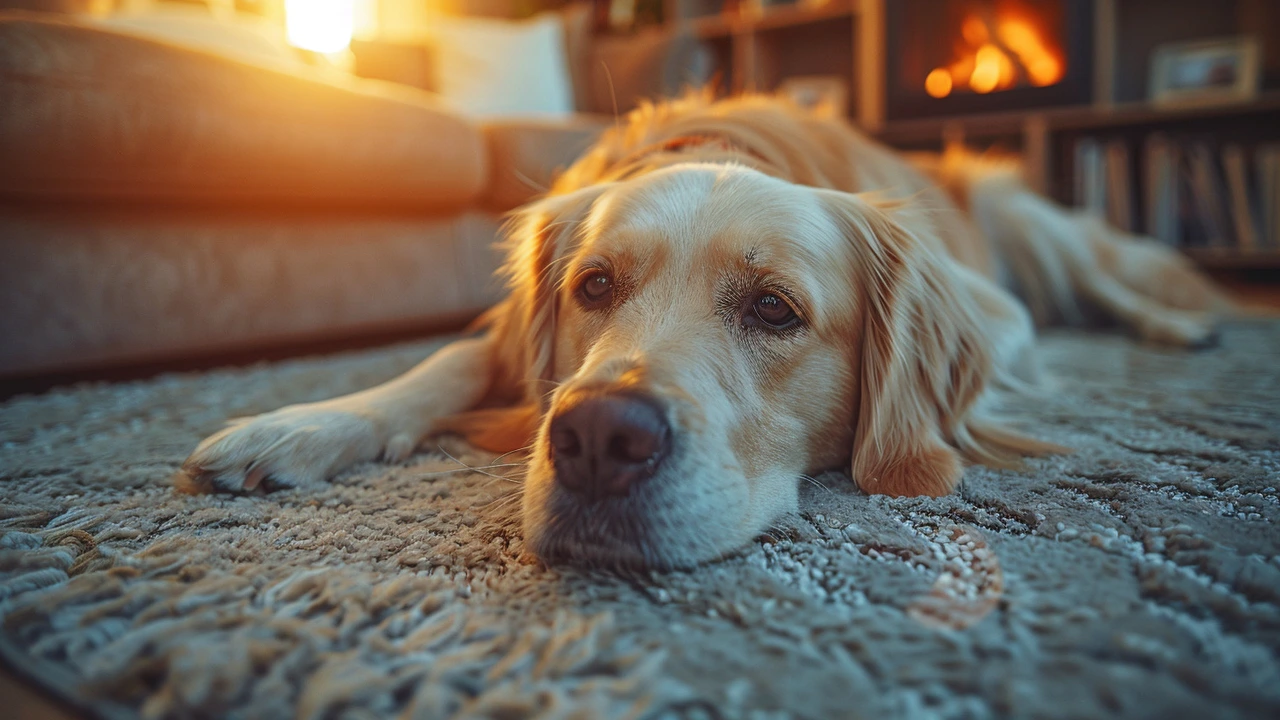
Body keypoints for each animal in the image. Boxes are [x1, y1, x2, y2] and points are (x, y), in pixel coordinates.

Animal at [172, 92, 1228, 568]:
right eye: (594, 286)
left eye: (774, 309)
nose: (599, 440)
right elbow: (443, 364)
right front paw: (297, 426)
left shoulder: (998, 316)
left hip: (1029, 228)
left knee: (1109, 281)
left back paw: (1187, 324)